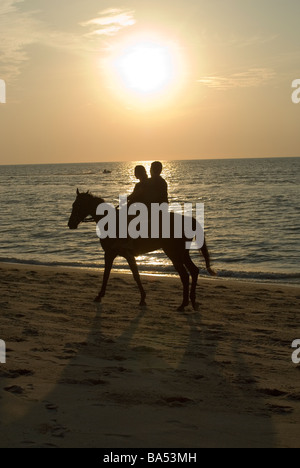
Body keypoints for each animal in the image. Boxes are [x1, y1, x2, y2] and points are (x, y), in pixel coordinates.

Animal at [68, 190, 216, 310]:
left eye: (77, 205)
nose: (70, 224)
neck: (111, 222)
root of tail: (190, 220)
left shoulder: (112, 254)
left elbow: (111, 275)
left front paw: (100, 296)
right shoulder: (122, 255)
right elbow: (130, 274)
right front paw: (142, 298)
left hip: (173, 253)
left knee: (185, 275)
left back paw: (183, 304)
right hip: (182, 253)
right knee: (194, 271)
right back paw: (192, 302)